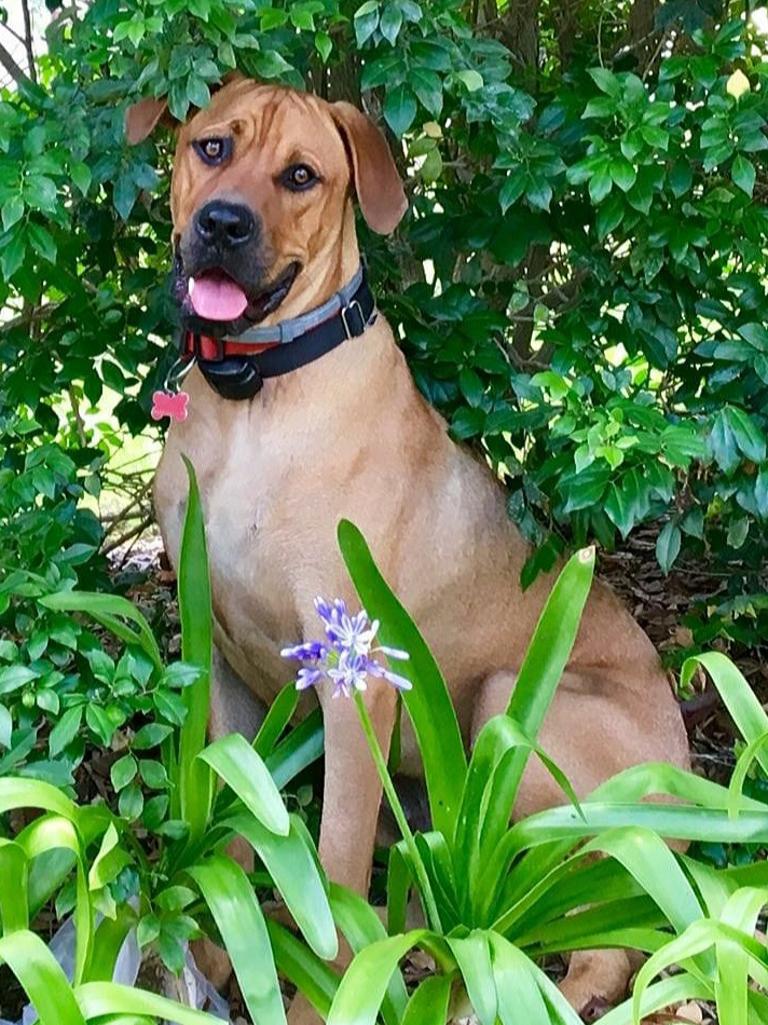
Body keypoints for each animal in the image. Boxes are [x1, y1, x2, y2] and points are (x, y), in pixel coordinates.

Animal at [127, 77, 689, 1016]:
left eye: (302, 175)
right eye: (212, 147)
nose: (223, 224)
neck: (257, 400)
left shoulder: (354, 681)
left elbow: (335, 865)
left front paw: (321, 993)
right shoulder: (223, 661)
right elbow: (240, 827)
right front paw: (216, 956)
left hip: (514, 707)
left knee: (602, 935)